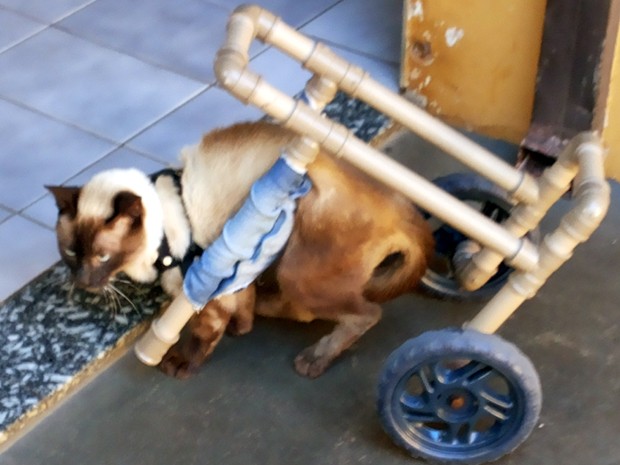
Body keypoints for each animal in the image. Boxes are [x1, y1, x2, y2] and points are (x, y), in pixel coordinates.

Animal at [47, 121, 432, 378]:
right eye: (71, 253)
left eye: (102, 256)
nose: (84, 282)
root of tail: (403, 205)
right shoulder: (236, 275)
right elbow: (241, 310)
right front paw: (242, 326)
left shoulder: (202, 287)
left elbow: (205, 331)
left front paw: (184, 363)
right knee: (302, 310)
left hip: (298, 269)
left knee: (364, 314)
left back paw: (314, 360)